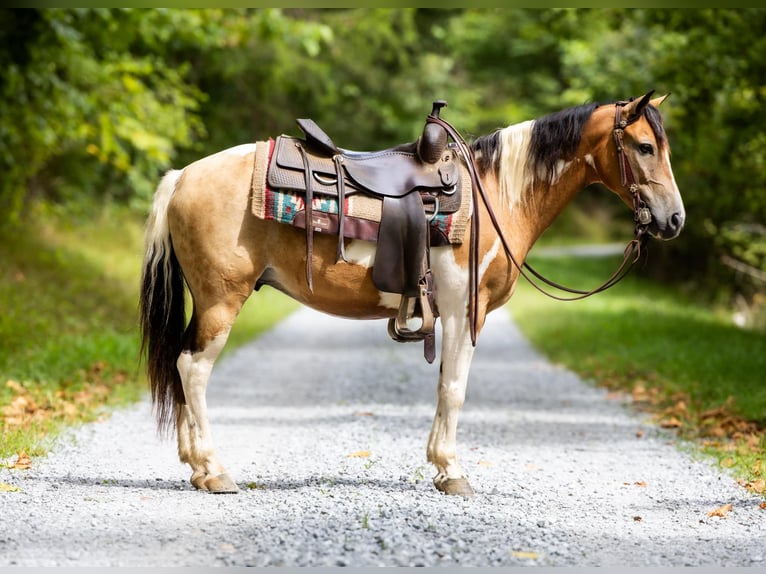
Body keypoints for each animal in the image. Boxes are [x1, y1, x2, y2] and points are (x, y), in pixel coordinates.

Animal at [139, 91, 685, 497]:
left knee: (183, 365)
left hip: (205, 302)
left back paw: (196, 467)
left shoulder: (452, 315)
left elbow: (444, 385)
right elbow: (455, 388)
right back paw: (214, 471)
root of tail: (183, 177)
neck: (496, 196)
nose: (675, 219)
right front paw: (452, 473)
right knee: (194, 369)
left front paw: (440, 466)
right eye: (643, 147)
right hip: (221, 301)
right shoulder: (466, 313)